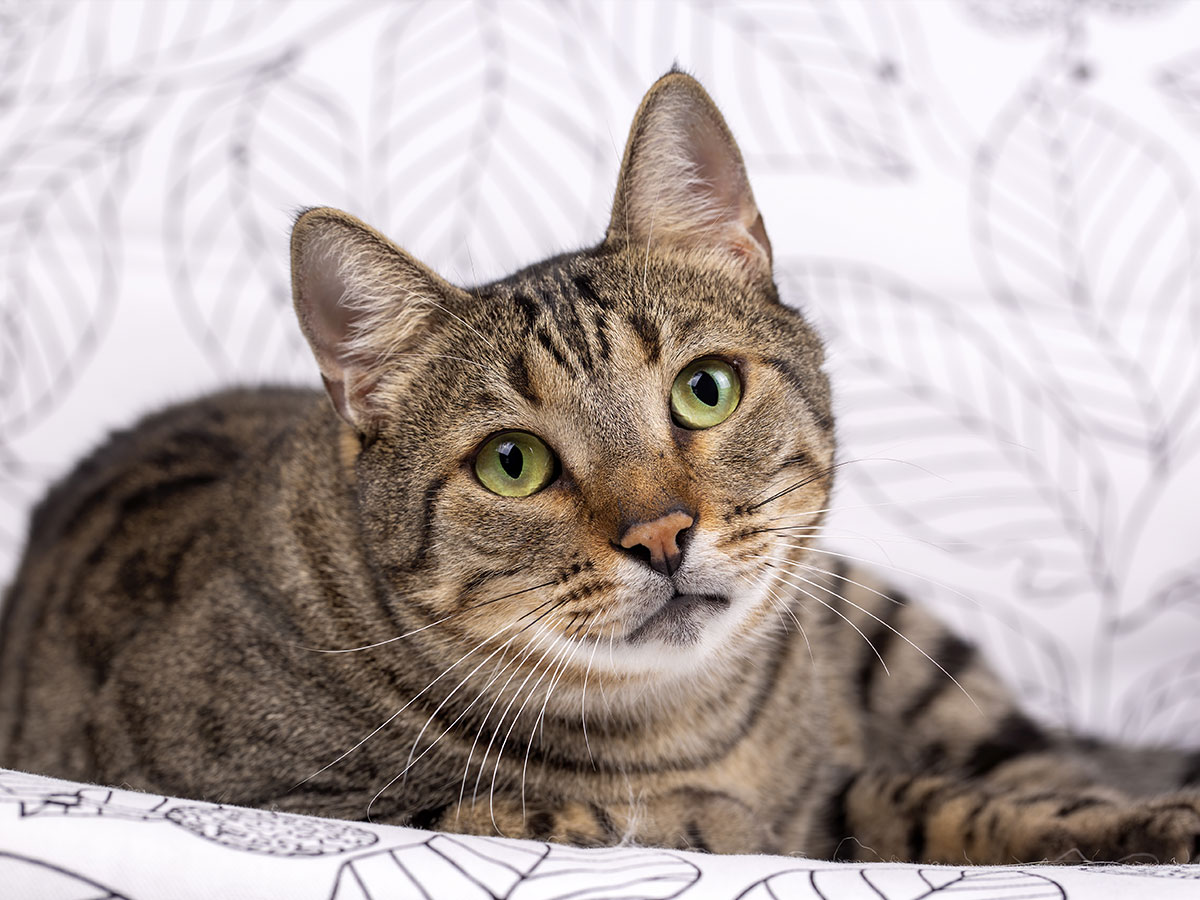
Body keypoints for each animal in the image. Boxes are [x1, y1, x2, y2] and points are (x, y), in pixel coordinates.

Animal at [2, 72, 1200, 868]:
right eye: (513, 463)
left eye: (705, 390)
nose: (664, 534)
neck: (680, 721)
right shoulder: (254, 797)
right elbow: (528, 807)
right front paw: (693, 815)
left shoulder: (851, 772)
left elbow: (950, 804)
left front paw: (1133, 831)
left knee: (1047, 764)